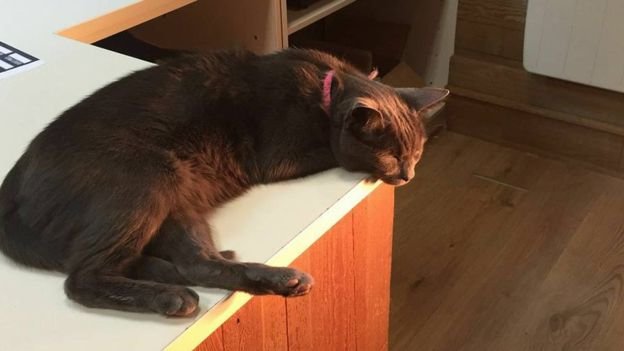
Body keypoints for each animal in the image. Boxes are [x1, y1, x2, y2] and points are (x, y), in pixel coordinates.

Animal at [0, 48, 448, 318]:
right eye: (393, 155)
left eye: (416, 154)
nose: (407, 174)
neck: (325, 90)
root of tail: (13, 188)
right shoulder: (279, 158)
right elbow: (335, 152)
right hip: (147, 178)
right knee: (82, 277)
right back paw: (173, 296)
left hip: (178, 201)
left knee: (193, 262)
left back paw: (274, 280)